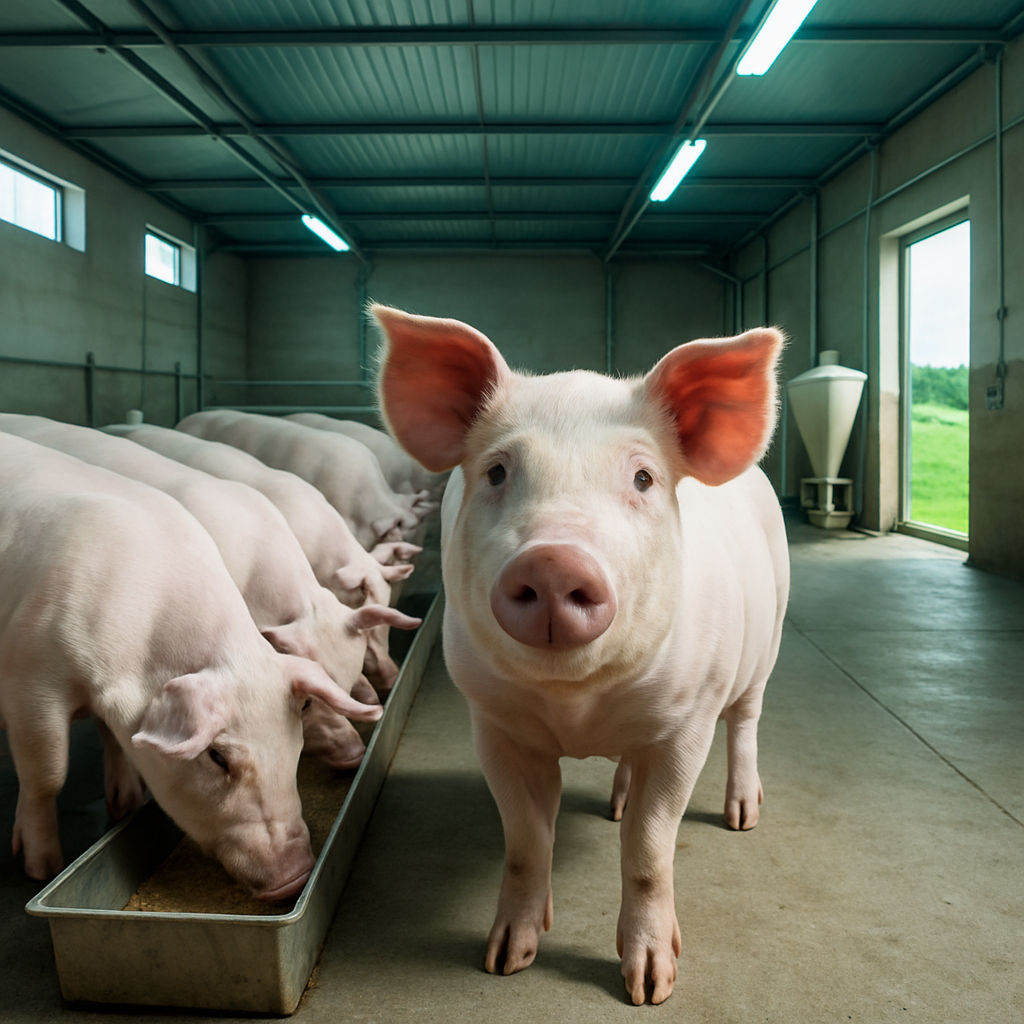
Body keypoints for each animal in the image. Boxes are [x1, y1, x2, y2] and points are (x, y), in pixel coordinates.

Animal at [0, 432, 381, 891]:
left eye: (295, 741)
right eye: (217, 756)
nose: (295, 877)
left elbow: (112, 738)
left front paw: (125, 806)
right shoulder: (30, 675)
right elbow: (47, 773)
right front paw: (41, 869)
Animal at [371, 305, 789, 1006]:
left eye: (643, 478)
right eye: (497, 472)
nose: (552, 560)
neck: (577, 705)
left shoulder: (687, 722)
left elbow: (648, 848)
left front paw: (650, 987)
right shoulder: (494, 722)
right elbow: (525, 840)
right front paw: (504, 961)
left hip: (768, 640)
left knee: (749, 722)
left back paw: (742, 818)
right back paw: (617, 801)